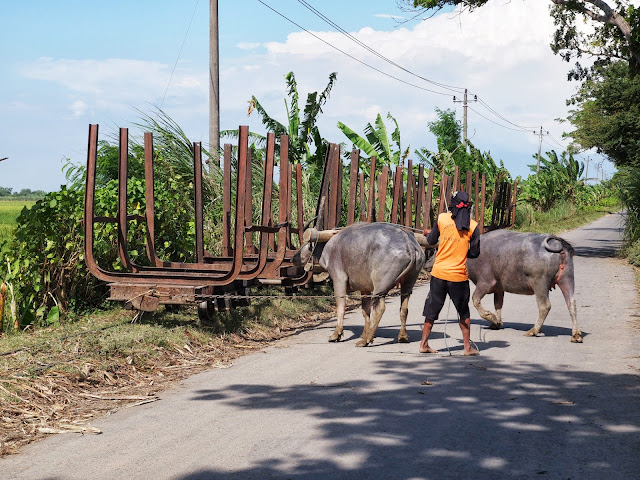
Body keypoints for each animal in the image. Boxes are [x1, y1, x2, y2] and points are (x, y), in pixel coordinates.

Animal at [294, 223, 424, 346]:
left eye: (305, 243)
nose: (294, 258)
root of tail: (409, 243)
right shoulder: (365, 289)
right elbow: (365, 311)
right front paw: (363, 333)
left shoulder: (339, 279)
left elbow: (341, 306)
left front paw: (336, 335)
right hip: (408, 283)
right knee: (404, 308)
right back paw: (402, 337)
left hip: (380, 286)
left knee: (380, 308)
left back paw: (366, 340)